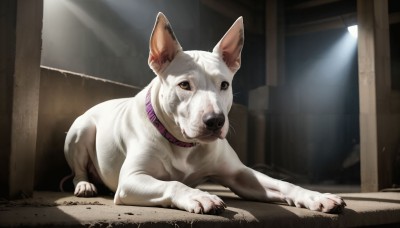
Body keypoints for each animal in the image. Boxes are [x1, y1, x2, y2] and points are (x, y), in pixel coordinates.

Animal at [64, 13, 346, 215]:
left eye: (224, 85)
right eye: (184, 85)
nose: (215, 121)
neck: (184, 144)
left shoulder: (240, 174)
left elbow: (282, 183)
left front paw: (316, 196)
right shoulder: (132, 180)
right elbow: (173, 183)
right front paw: (199, 196)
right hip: (80, 132)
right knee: (79, 168)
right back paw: (85, 185)